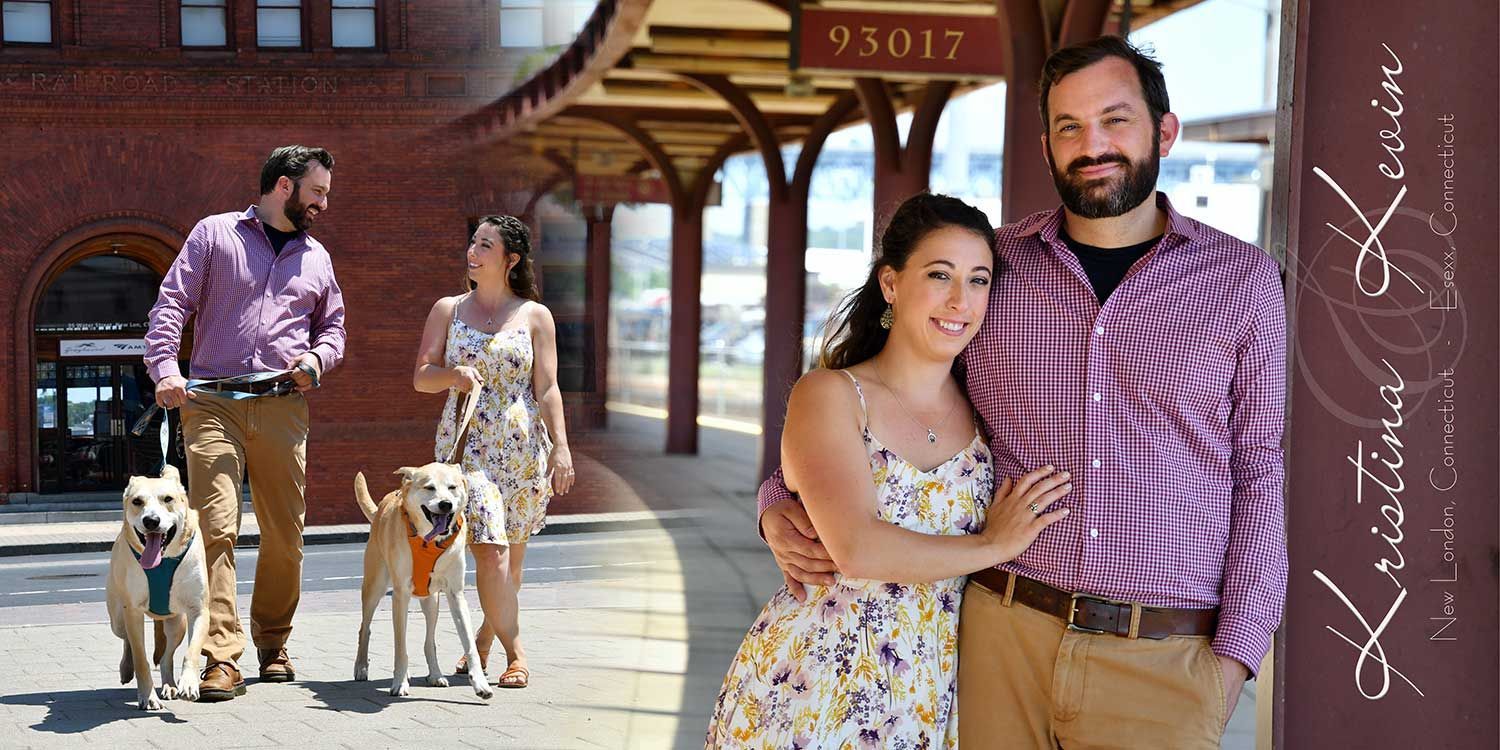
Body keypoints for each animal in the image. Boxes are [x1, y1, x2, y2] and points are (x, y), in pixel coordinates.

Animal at [105, 465, 210, 711]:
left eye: (168, 499)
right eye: (137, 501)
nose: (151, 520)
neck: (162, 561)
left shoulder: (198, 609)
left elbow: (191, 651)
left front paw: (189, 683)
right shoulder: (132, 610)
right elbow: (141, 657)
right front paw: (148, 696)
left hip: (176, 622)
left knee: (167, 655)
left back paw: (170, 684)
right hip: (117, 616)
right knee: (126, 639)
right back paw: (126, 668)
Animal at [351, 462, 492, 696]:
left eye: (452, 487)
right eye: (429, 487)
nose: (445, 504)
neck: (429, 541)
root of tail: (382, 505)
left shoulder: (456, 594)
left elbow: (469, 643)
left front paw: (480, 683)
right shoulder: (400, 594)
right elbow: (400, 646)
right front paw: (399, 682)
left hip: (431, 601)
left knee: (429, 641)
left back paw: (435, 674)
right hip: (375, 587)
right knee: (366, 628)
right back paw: (362, 667)